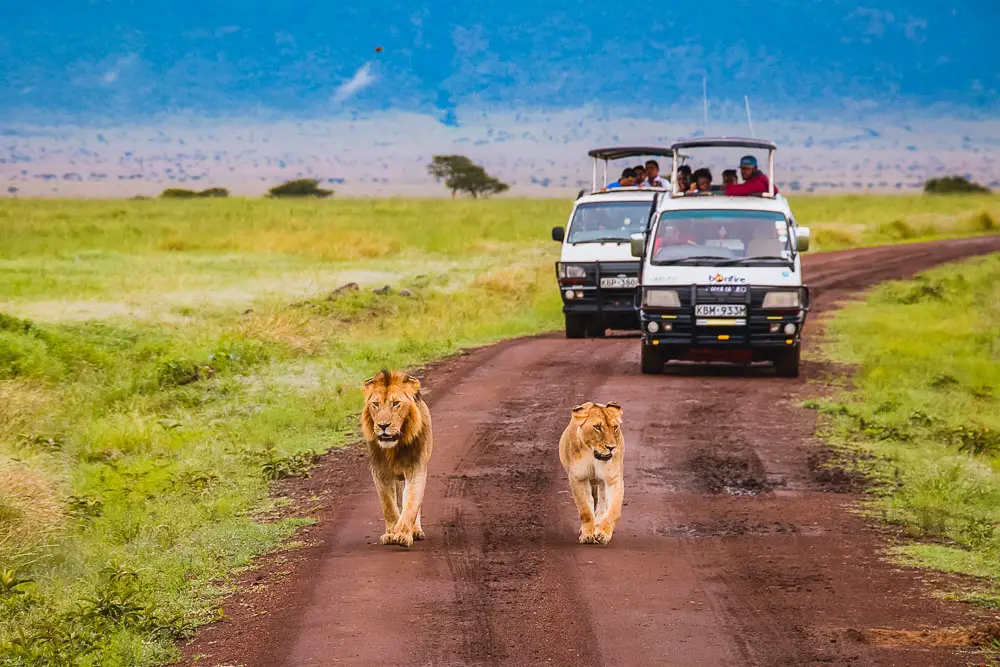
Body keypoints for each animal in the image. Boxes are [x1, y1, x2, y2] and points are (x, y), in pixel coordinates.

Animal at [364, 370, 434, 548]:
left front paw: (402, 535)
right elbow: (388, 505)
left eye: (396, 403)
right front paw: (391, 534)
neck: (394, 448)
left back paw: (416, 530)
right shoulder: (380, 472)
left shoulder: (416, 469)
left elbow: (411, 504)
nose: (383, 425)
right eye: (375, 404)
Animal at [556, 402, 624, 544]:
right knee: (591, 501)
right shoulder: (578, 478)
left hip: (602, 483)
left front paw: (603, 534)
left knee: (602, 502)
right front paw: (587, 535)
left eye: (615, 428)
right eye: (597, 427)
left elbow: (614, 510)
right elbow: (585, 509)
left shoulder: (613, 479)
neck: (594, 455)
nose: (611, 447)